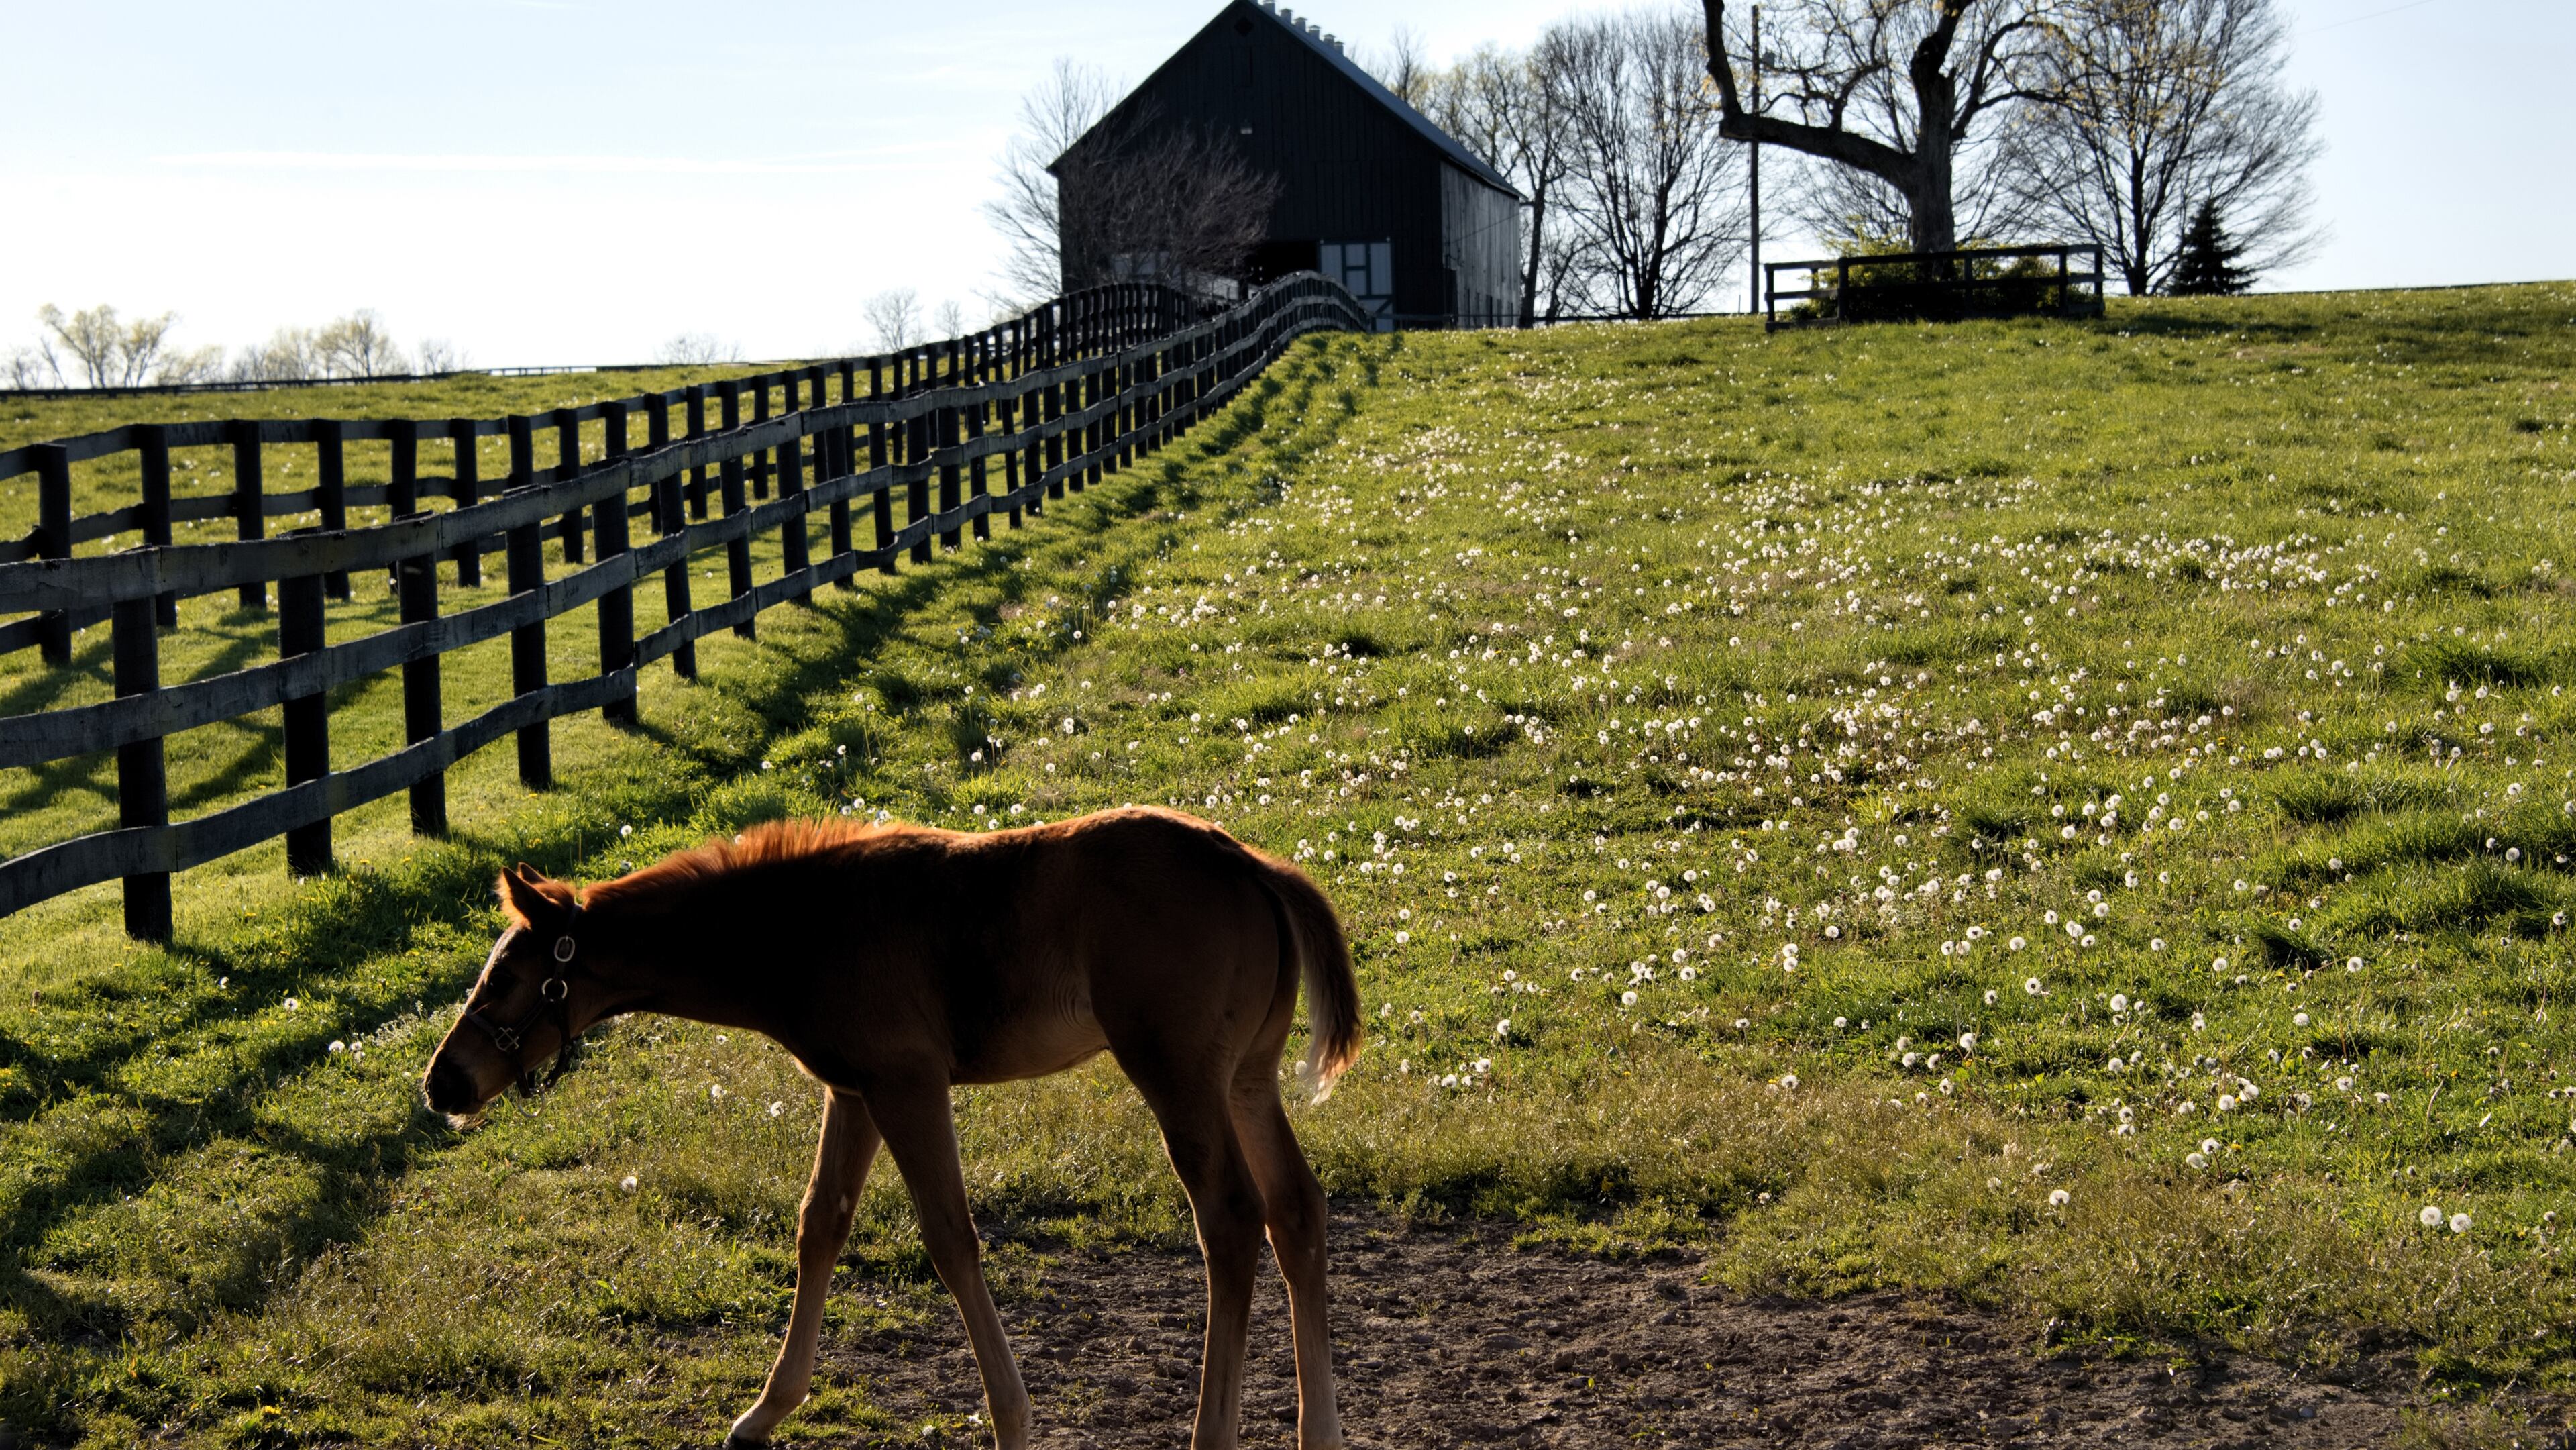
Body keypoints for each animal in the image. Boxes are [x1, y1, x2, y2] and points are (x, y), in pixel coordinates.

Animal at [420, 806, 1362, 1450]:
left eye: (505, 978)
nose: (441, 1082)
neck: (805, 924)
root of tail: (1253, 864)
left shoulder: (908, 1083)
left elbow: (950, 1238)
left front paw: (1011, 1420)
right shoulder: (857, 1092)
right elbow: (820, 1225)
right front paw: (763, 1411)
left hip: (1178, 1077)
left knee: (1231, 1220)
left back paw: (1214, 1433)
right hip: (1245, 1081)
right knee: (1297, 1211)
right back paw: (1319, 1431)